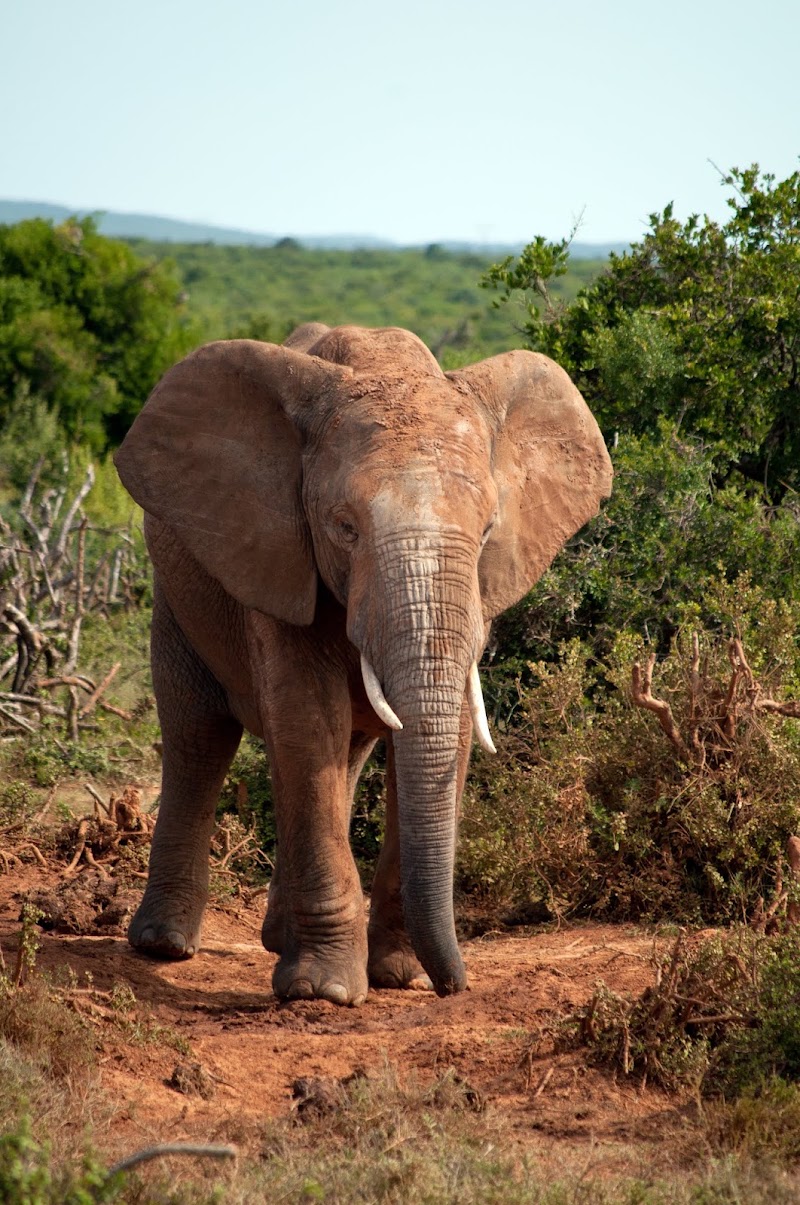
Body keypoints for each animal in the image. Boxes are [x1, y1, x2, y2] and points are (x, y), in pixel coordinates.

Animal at [114, 322, 612, 1005]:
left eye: (487, 531)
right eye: (344, 527)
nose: (455, 985)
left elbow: (446, 730)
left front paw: (399, 977)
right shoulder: (279, 554)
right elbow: (305, 718)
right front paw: (324, 993)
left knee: (343, 754)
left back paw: (276, 938)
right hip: (176, 590)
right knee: (198, 735)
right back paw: (163, 945)